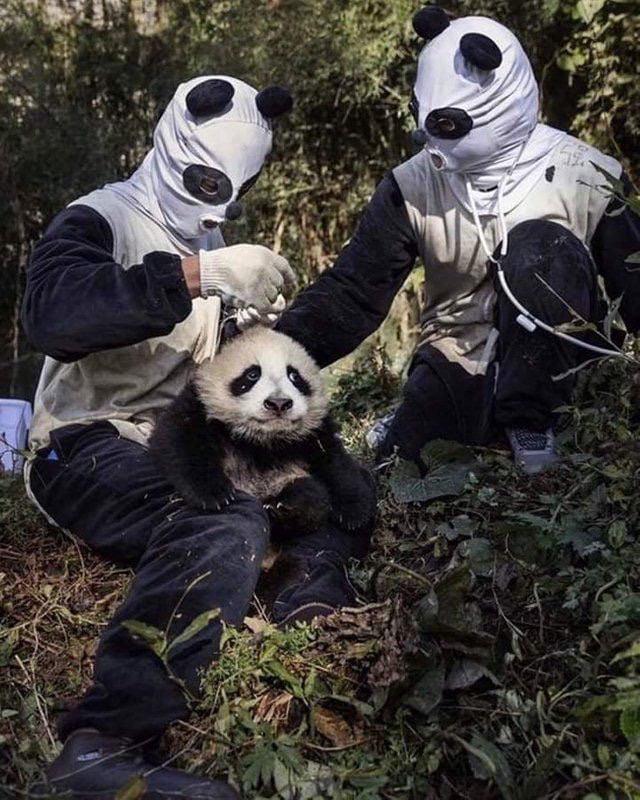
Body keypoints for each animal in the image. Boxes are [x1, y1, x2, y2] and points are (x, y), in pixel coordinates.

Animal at [149, 326, 377, 539]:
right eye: (252, 374)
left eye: (294, 376)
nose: (278, 403)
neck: (263, 439)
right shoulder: (200, 405)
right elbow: (178, 438)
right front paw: (213, 494)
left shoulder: (314, 432)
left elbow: (333, 461)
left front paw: (354, 513)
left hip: (285, 479)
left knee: (311, 494)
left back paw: (285, 509)